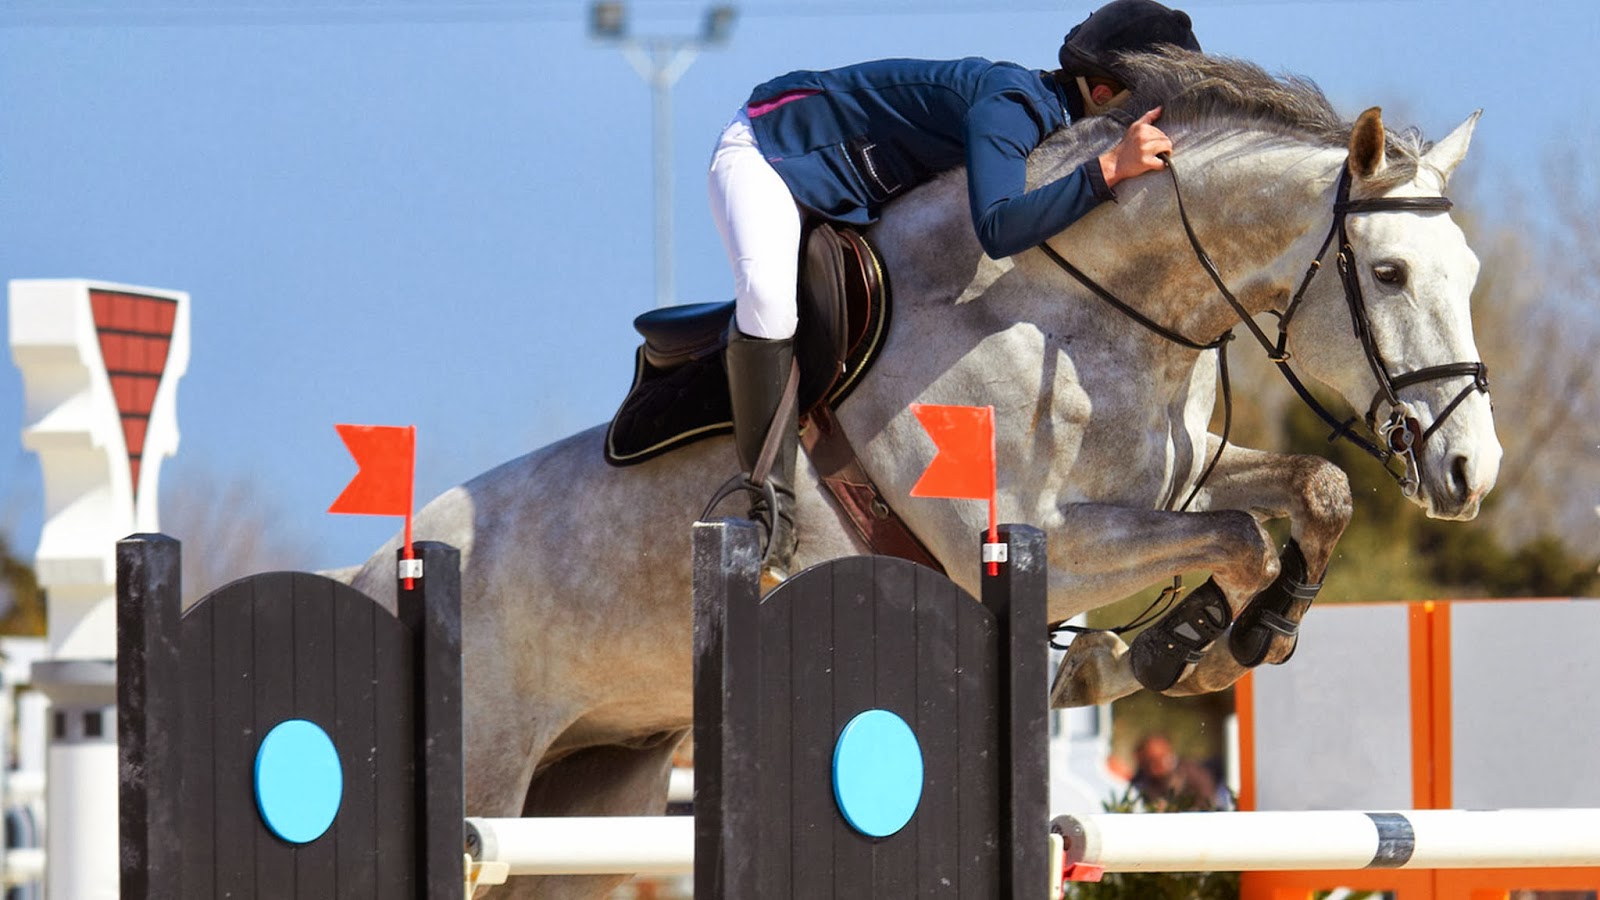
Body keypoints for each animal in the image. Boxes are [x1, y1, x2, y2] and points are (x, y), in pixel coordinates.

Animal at [347, 50, 1497, 896]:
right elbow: (1241, 539)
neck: (1091, 308)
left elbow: (1309, 493)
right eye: (1389, 272)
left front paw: (1210, 641)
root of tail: (373, 575)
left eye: (1469, 273)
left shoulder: (1166, 485)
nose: (1468, 468)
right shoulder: (1042, 536)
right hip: (494, 774)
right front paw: (1182, 650)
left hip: (595, 800)